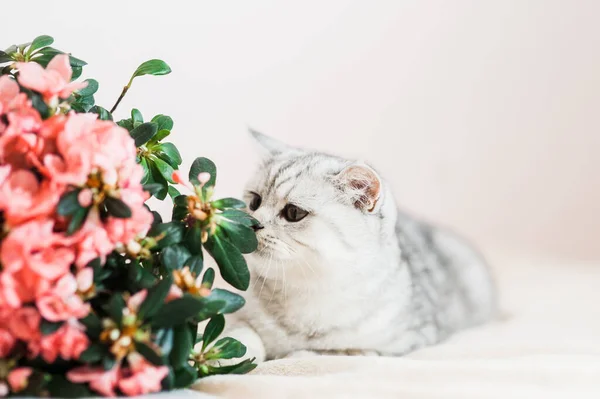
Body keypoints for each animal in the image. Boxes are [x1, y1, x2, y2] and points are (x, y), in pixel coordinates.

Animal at [221, 131, 496, 362]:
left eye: (293, 213)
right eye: (254, 201)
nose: (251, 223)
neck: (302, 291)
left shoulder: (397, 345)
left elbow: (319, 352)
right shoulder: (237, 313)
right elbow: (243, 336)